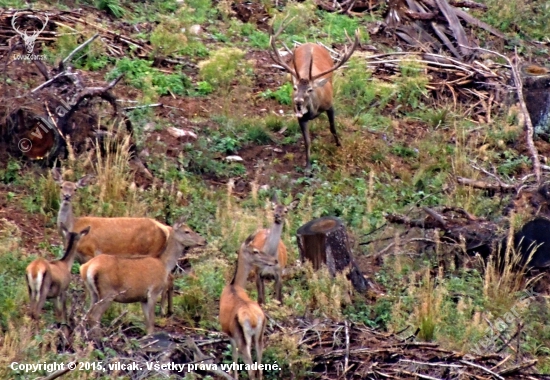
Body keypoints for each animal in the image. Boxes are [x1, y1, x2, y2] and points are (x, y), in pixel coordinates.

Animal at [78, 223, 206, 336]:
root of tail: (87, 267)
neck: (164, 265)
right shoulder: (153, 291)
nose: (204, 241)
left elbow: (147, 323)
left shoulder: (142, 298)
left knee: (86, 314)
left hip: (93, 293)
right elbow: (152, 322)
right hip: (108, 292)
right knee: (94, 316)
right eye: (187, 231)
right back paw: (98, 337)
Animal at [220, 235, 280, 380]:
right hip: (260, 336)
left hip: (242, 338)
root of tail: (253, 319)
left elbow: (234, 357)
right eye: (255, 251)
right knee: (260, 368)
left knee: (252, 369)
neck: (234, 285)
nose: (274, 260)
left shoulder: (229, 333)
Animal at [268, 16, 362, 170]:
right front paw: (307, 166)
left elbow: (333, 128)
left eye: (310, 90)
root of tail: (311, 42)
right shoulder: (300, 117)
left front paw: (339, 145)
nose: (298, 101)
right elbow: (307, 141)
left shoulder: (330, 105)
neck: (314, 110)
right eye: (295, 88)